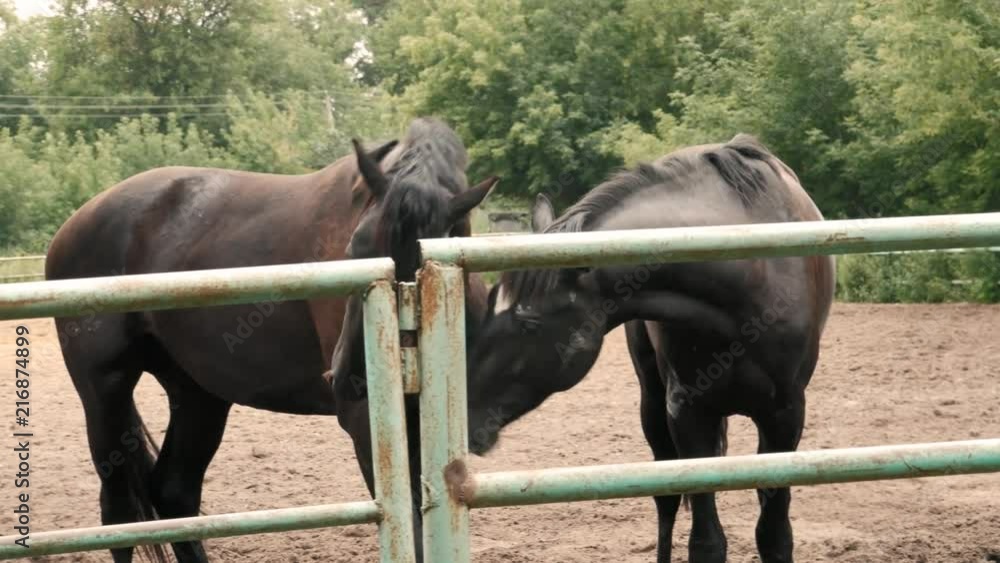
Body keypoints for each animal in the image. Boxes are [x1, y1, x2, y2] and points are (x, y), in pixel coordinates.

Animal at [466, 134, 835, 563]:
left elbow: (774, 535)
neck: (748, 283)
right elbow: (705, 541)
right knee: (665, 500)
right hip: (653, 404)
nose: (469, 419)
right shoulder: (687, 414)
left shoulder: (784, 417)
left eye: (529, 322)